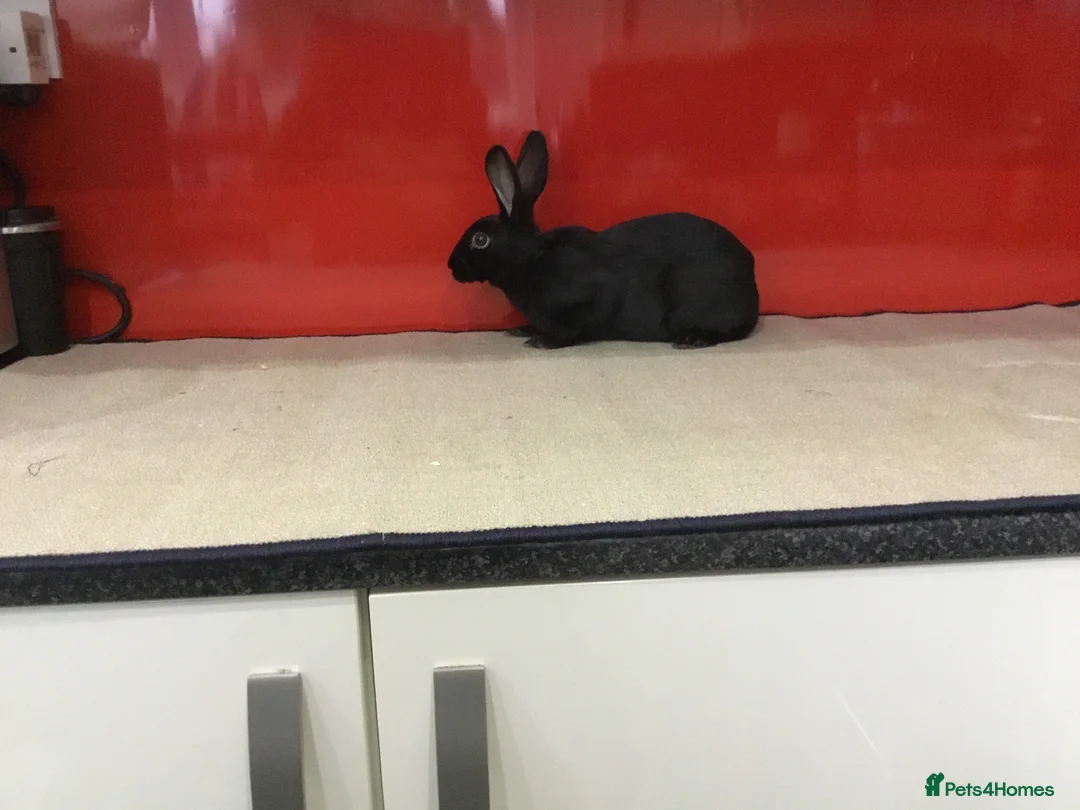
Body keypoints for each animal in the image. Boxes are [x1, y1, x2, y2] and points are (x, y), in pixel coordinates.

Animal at [447, 130, 759, 350]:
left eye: (480, 239)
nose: (451, 266)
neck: (531, 258)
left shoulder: (590, 298)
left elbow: (573, 328)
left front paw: (542, 341)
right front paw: (521, 330)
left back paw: (692, 340)